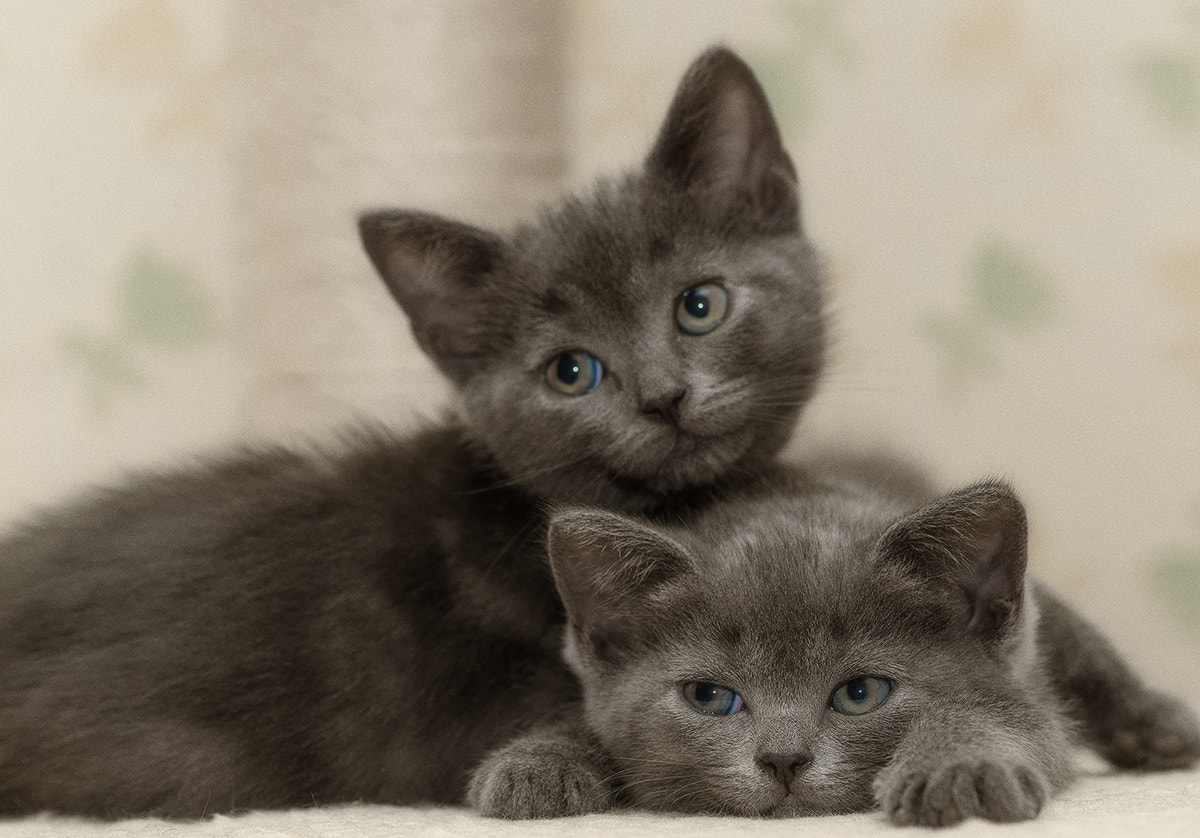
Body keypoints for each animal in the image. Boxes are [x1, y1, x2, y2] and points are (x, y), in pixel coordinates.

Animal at [470, 465, 1200, 825]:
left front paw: (957, 766)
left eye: (860, 692)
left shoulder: (1026, 699)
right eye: (708, 697)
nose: (783, 760)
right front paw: (538, 763)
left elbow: (999, 715)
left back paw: (1155, 729)